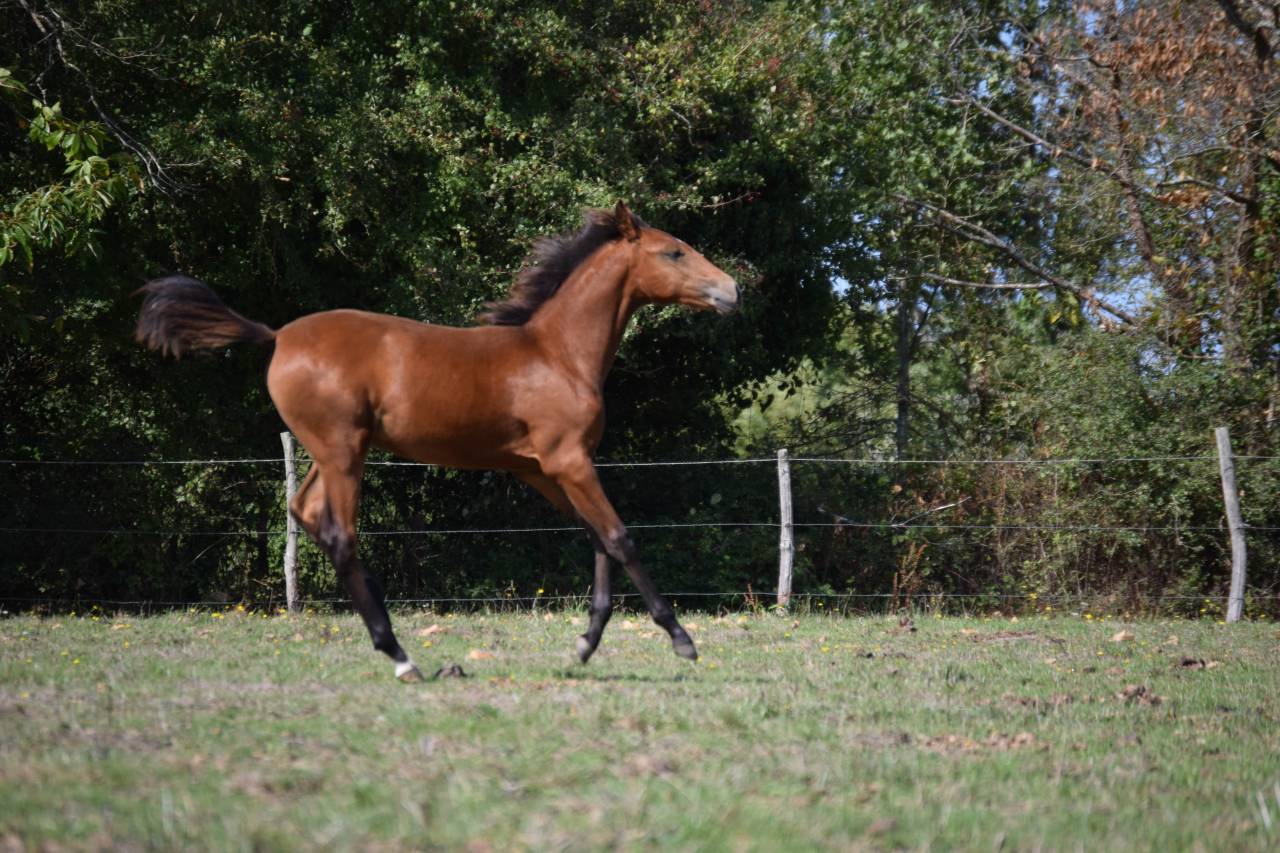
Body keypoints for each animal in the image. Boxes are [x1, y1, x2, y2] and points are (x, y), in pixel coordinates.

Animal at [136, 202, 741, 681]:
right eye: (673, 253)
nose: (731, 291)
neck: (557, 354)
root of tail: (278, 335)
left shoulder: (543, 468)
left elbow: (595, 538)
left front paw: (585, 644)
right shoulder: (568, 460)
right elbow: (621, 537)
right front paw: (681, 639)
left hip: (329, 453)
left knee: (304, 513)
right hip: (342, 452)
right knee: (340, 535)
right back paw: (401, 656)